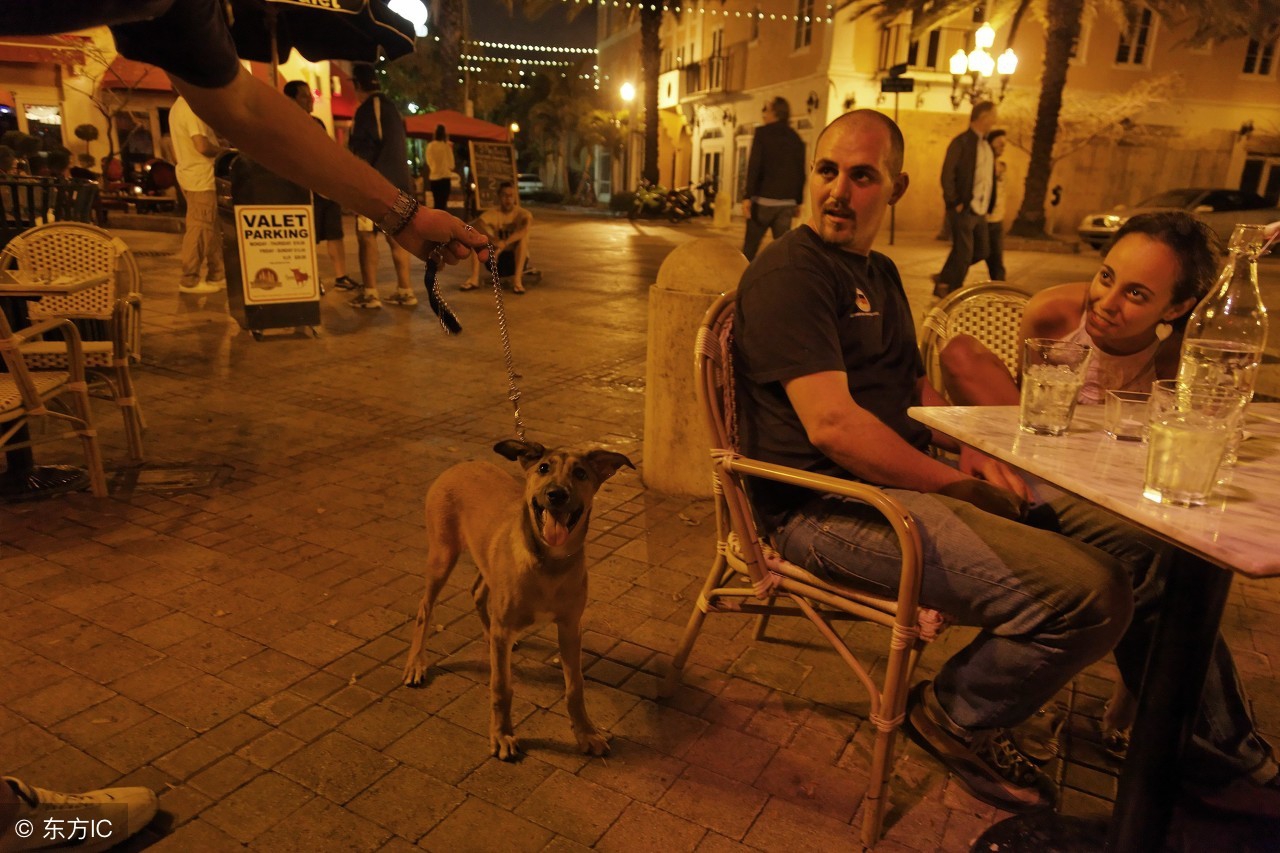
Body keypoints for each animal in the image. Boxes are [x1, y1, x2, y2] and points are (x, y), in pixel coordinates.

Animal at [401, 438, 632, 758]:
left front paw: (586, 732)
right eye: (543, 468)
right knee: (425, 608)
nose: (556, 494)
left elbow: (575, 687)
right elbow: (501, 687)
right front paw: (502, 735)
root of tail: (460, 465)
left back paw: (487, 635)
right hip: (442, 557)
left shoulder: (570, 628)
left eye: (581, 474)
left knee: (477, 593)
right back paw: (415, 665)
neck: (549, 564)